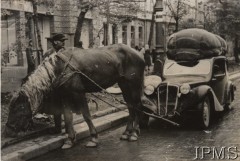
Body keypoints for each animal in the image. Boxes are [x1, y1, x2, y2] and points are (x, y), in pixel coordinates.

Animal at [4, 43, 145, 149]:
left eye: (19, 108)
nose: (8, 131)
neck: (59, 68)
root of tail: (139, 54)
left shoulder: (78, 93)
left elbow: (86, 115)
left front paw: (93, 138)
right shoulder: (65, 95)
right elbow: (68, 117)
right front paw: (70, 139)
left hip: (133, 84)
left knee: (137, 105)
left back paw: (134, 133)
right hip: (124, 84)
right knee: (131, 106)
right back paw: (127, 132)